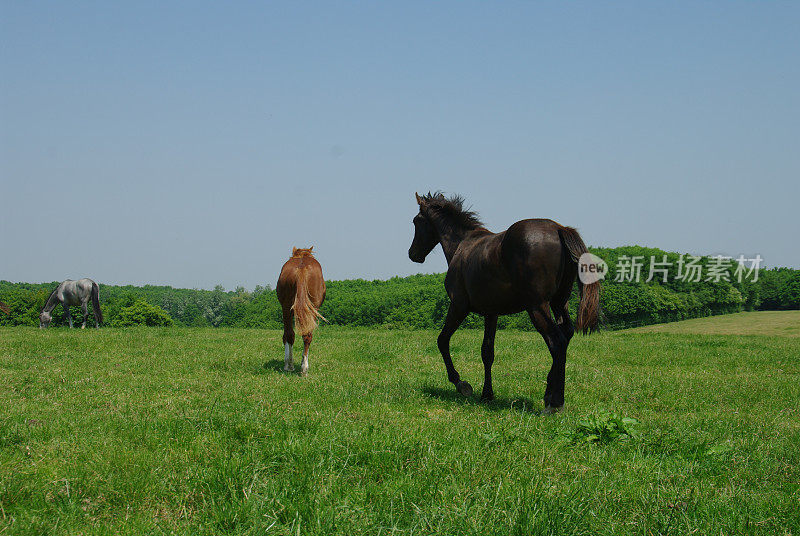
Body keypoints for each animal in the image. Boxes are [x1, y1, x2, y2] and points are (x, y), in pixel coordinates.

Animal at [276, 248, 324, 376]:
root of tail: (302, 267)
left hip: (287, 308)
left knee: (290, 334)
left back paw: (291, 365)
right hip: (310, 309)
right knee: (306, 335)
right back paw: (303, 368)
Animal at [410, 192, 596, 410]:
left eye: (416, 221)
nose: (413, 254)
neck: (462, 245)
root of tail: (559, 229)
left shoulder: (458, 306)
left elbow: (442, 340)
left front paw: (461, 384)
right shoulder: (491, 313)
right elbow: (487, 352)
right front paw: (487, 394)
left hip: (537, 307)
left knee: (556, 341)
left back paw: (554, 403)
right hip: (559, 303)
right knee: (566, 335)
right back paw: (550, 394)